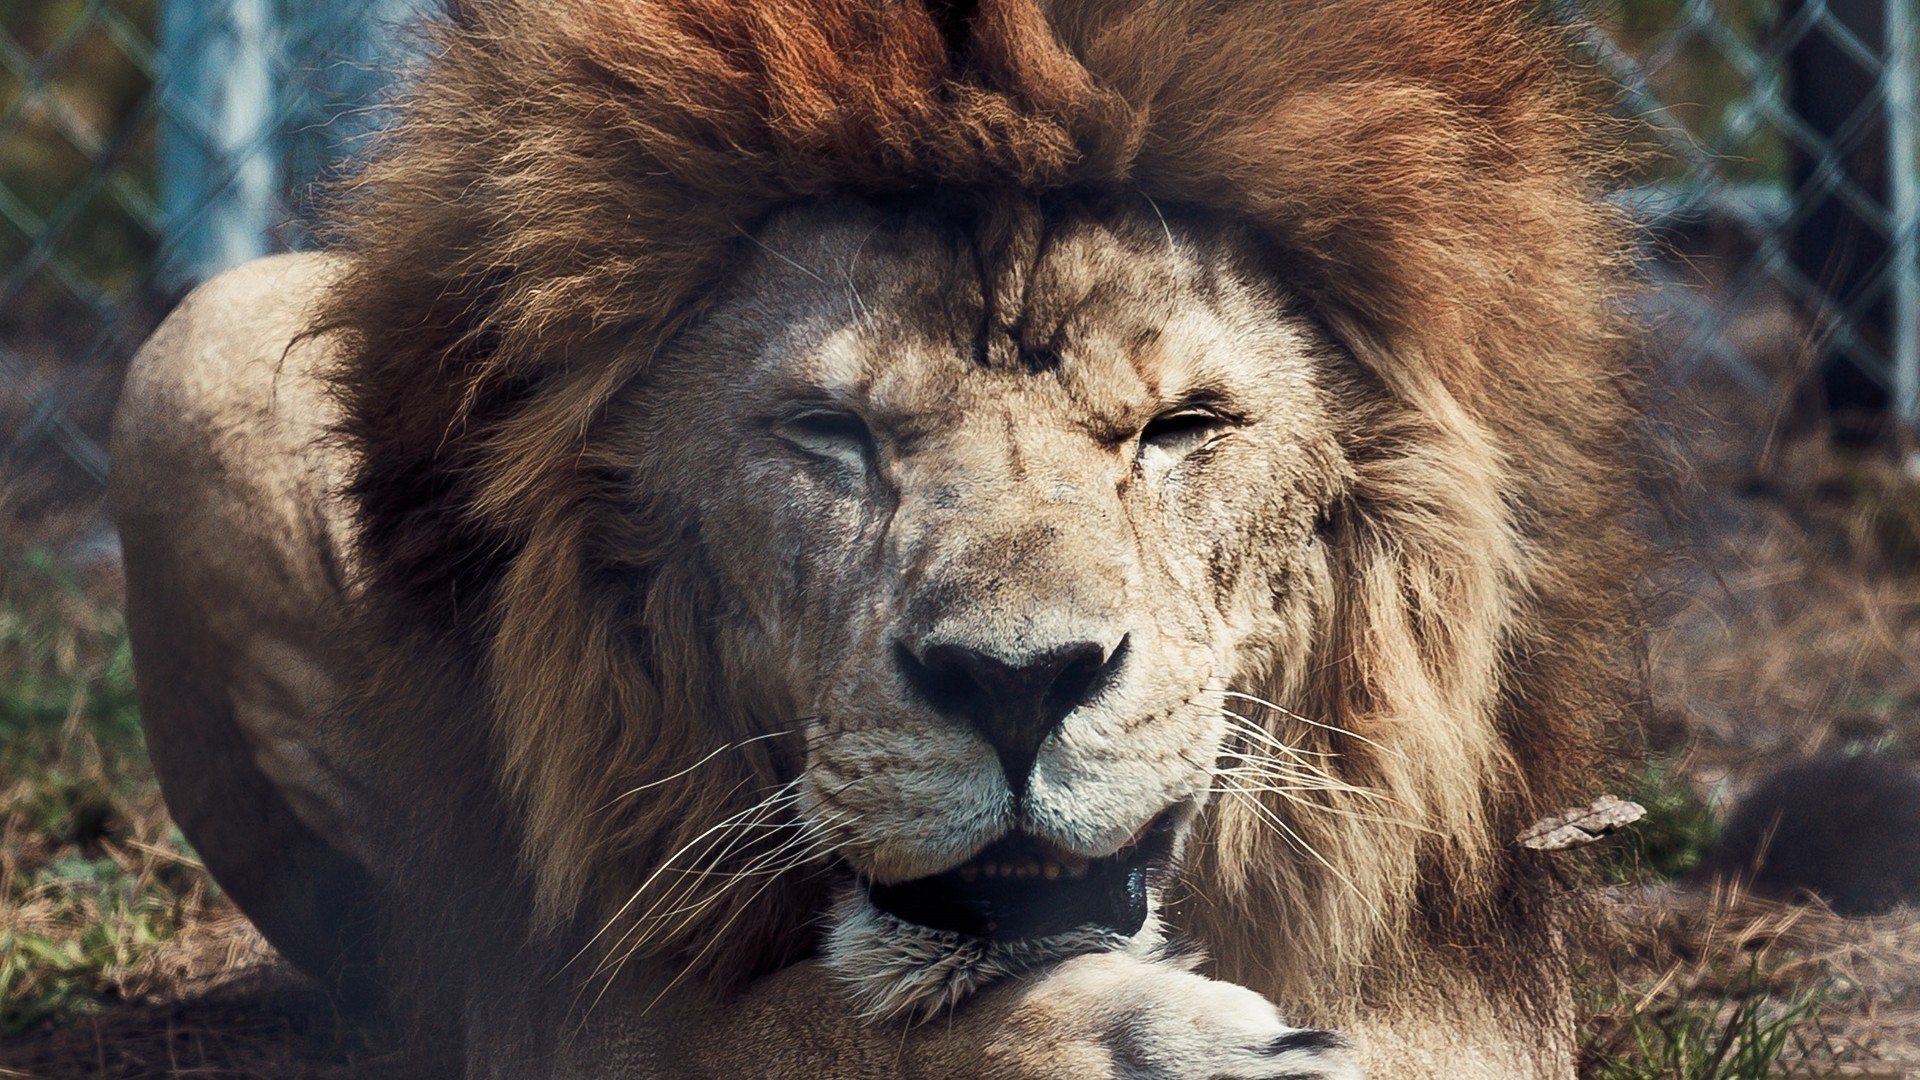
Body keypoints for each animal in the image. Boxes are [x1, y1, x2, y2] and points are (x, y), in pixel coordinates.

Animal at [108, 0, 1643, 1076]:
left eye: (1181, 427)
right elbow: (789, 1032)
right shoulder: (553, 1001)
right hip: (194, 347)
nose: (1016, 686)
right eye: (829, 432)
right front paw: (1152, 1047)